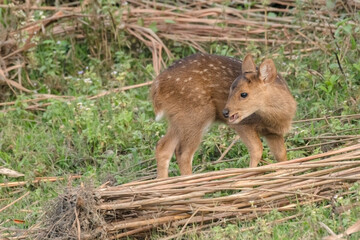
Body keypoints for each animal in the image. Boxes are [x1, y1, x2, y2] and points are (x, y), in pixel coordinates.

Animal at [151, 53, 296, 179]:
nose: (225, 112)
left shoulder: (274, 133)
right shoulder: (243, 124)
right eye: (230, 88)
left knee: (162, 146)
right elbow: (257, 149)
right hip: (195, 115)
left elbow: (281, 155)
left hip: (178, 118)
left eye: (243, 94)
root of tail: (157, 85)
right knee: (183, 153)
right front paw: (248, 177)